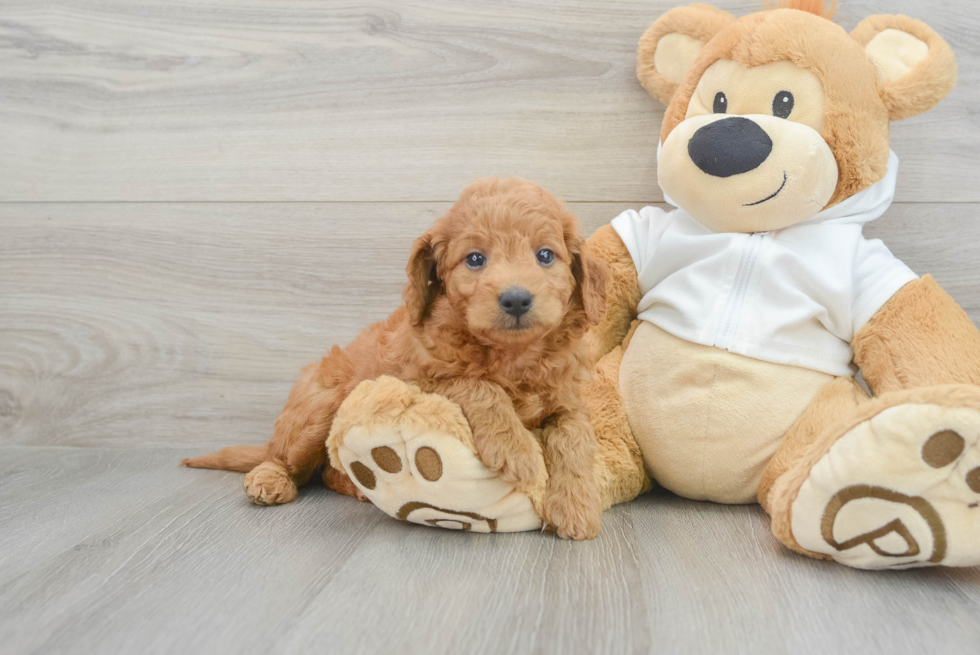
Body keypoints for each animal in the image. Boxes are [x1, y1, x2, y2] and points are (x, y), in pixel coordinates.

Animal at [184, 178, 608, 540]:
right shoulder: (421, 378)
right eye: (474, 259)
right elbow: (477, 384)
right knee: (289, 460)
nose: (516, 299)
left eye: (545, 255)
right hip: (319, 407)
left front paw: (577, 507)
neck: (513, 354)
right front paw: (517, 450)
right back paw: (270, 479)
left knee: (326, 471)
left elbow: (575, 437)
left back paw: (356, 486)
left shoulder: (568, 400)